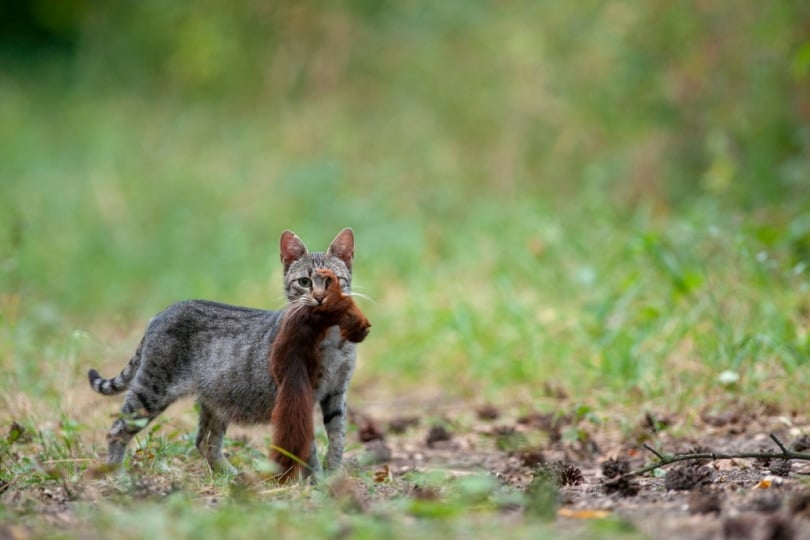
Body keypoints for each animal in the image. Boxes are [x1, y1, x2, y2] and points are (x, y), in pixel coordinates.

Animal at [87, 228, 360, 476]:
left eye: (332, 280)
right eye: (305, 282)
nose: (320, 297)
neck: (332, 342)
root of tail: (161, 312)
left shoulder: (337, 391)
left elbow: (338, 437)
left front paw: (332, 474)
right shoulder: (301, 395)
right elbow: (309, 446)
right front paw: (316, 480)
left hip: (218, 401)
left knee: (205, 442)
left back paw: (233, 477)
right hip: (151, 393)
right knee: (116, 430)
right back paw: (117, 475)